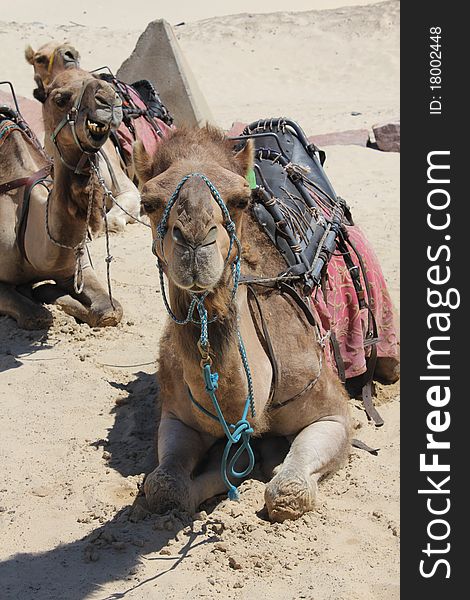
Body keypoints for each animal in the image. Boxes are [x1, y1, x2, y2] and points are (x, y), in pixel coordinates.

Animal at [0, 70, 123, 330]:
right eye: (60, 99)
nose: (109, 98)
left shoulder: (76, 268)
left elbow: (110, 311)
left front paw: (47, 291)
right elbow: (35, 316)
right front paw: (41, 294)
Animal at [132, 126, 352, 520]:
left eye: (239, 200)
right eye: (149, 203)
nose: (194, 240)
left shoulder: (334, 414)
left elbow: (288, 491)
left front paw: (270, 465)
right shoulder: (176, 414)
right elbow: (165, 488)